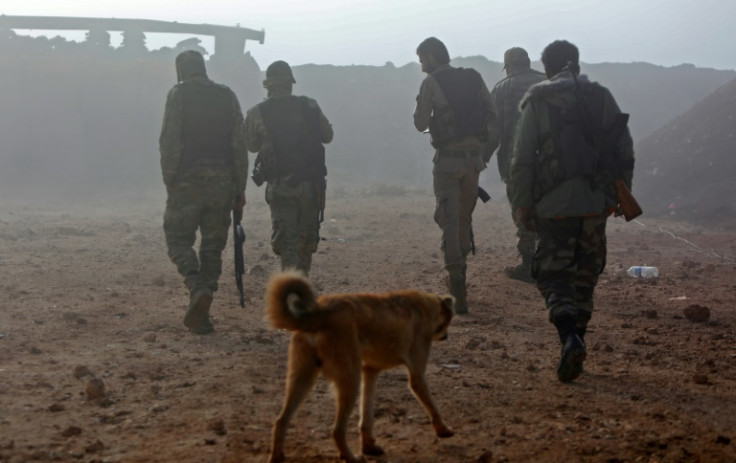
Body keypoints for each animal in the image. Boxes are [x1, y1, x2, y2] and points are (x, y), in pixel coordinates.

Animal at [266, 274, 454, 462]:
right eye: (448, 321)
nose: (446, 336)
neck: (426, 307)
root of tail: (318, 315)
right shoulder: (417, 375)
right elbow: (432, 405)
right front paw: (443, 430)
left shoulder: (370, 372)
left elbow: (366, 418)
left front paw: (369, 447)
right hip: (350, 381)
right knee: (337, 430)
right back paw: (351, 457)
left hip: (302, 380)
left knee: (281, 420)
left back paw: (277, 456)